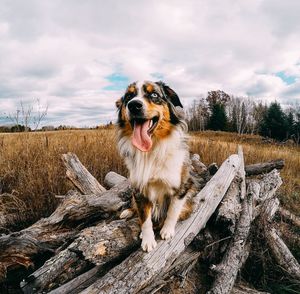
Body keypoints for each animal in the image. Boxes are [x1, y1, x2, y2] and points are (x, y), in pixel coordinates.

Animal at [115, 81, 197, 253]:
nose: (134, 105)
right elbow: (144, 218)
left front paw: (167, 230)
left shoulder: (183, 186)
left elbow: (173, 211)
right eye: (129, 96)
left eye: (154, 95)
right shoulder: (139, 190)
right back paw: (128, 212)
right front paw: (147, 239)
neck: (151, 150)